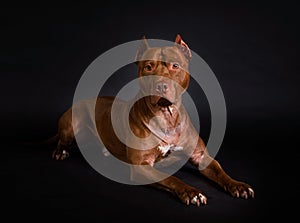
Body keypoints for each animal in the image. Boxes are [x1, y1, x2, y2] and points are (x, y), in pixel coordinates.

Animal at [51, 34, 253, 206]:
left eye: (175, 65)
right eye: (148, 67)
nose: (161, 85)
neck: (167, 117)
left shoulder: (201, 157)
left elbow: (220, 171)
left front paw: (238, 185)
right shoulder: (141, 166)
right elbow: (172, 178)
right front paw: (192, 192)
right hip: (72, 126)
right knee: (62, 140)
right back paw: (60, 152)